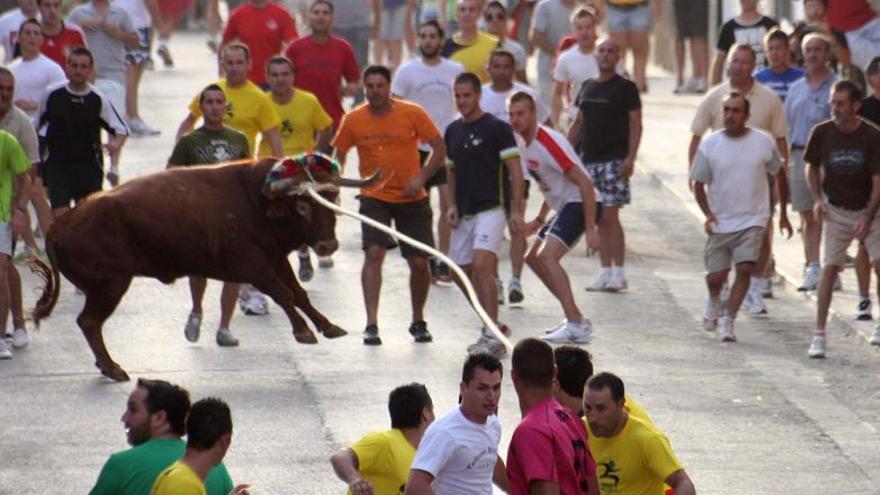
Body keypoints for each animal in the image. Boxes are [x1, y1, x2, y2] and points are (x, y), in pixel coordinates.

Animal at [30, 157, 374, 382]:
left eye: (332, 198)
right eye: (302, 205)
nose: (328, 245)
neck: (257, 199)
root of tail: (61, 224)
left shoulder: (276, 259)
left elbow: (299, 293)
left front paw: (329, 327)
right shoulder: (253, 266)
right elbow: (284, 294)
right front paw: (303, 332)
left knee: (89, 322)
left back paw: (109, 368)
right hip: (111, 285)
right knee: (89, 321)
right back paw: (114, 369)